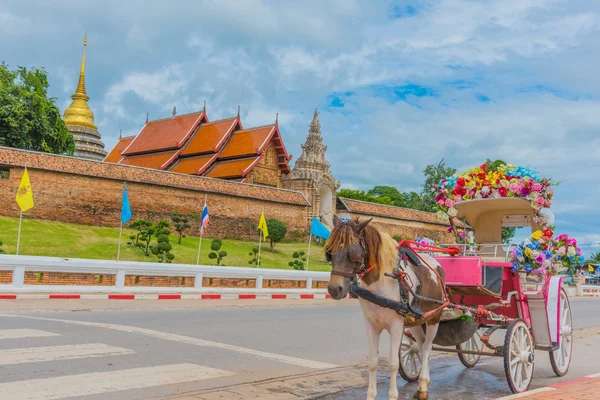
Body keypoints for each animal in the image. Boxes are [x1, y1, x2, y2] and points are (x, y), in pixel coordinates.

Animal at [324, 217, 446, 398]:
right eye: (329, 251)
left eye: (352, 252)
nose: (334, 289)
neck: (380, 282)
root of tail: (437, 265)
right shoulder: (371, 325)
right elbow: (373, 362)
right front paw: (370, 395)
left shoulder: (396, 325)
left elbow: (393, 363)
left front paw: (393, 395)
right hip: (416, 320)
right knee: (420, 343)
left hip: (434, 317)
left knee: (426, 348)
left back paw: (423, 385)